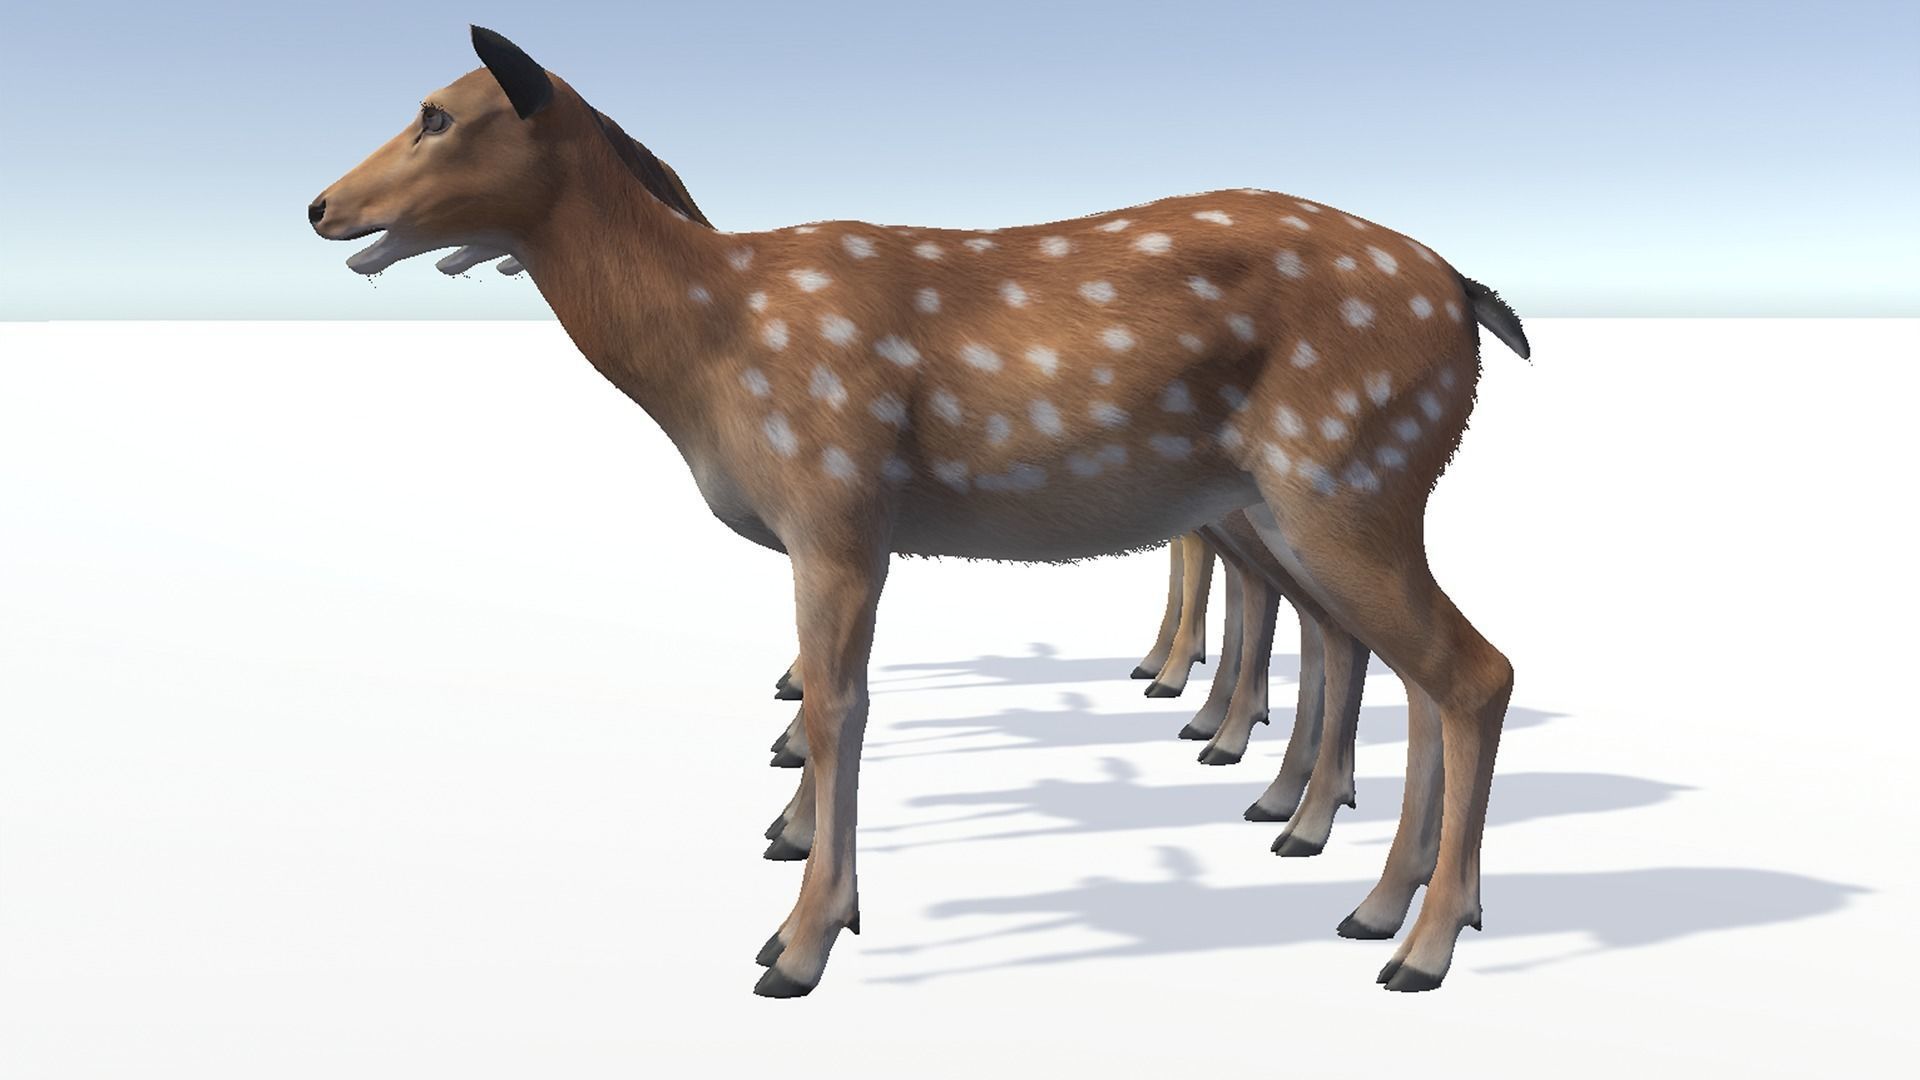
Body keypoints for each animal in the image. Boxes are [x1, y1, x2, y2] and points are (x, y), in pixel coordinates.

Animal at [310, 26, 1529, 996]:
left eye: (437, 114)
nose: (321, 205)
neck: (709, 345)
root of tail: (1467, 298)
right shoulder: (821, 533)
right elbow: (829, 701)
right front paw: (799, 866)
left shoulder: (837, 504)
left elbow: (839, 708)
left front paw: (799, 941)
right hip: (1309, 502)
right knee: (1403, 664)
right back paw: (1372, 888)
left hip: (1346, 476)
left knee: (1472, 670)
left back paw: (1414, 944)